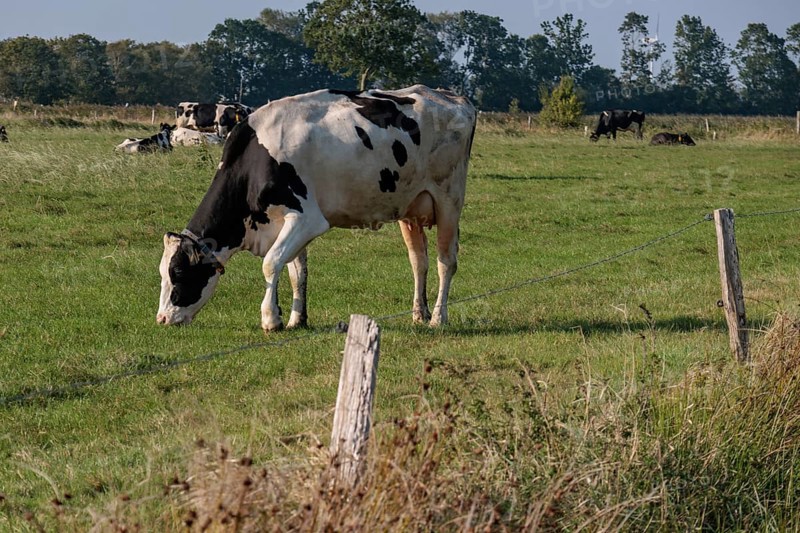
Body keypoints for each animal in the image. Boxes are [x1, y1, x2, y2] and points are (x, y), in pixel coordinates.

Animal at [157, 85, 476, 333]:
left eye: (178, 272)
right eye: (162, 272)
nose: (162, 319)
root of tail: (452, 97)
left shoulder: (307, 218)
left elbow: (271, 262)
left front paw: (270, 319)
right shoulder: (288, 224)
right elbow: (296, 270)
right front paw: (296, 319)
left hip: (449, 200)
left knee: (446, 261)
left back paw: (438, 317)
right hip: (410, 208)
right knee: (418, 261)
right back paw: (419, 313)